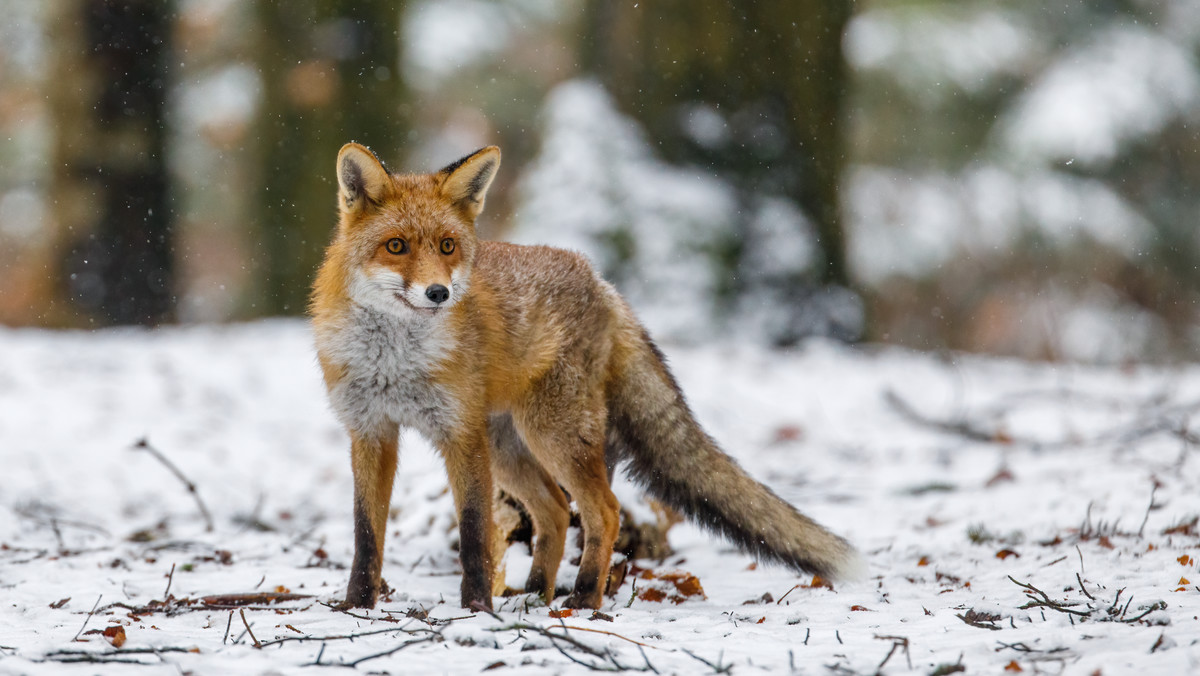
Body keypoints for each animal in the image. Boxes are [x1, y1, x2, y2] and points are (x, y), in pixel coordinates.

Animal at [309, 145, 854, 609]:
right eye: (396, 246)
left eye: (447, 246)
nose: (439, 293)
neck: (395, 361)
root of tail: (602, 282)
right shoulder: (370, 431)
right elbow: (366, 534)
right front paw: (356, 606)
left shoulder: (459, 434)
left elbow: (473, 534)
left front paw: (476, 609)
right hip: (510, 444)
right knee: (553, 510)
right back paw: (535, 594)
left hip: (551, 434)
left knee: (603, 511)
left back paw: (584, 597)